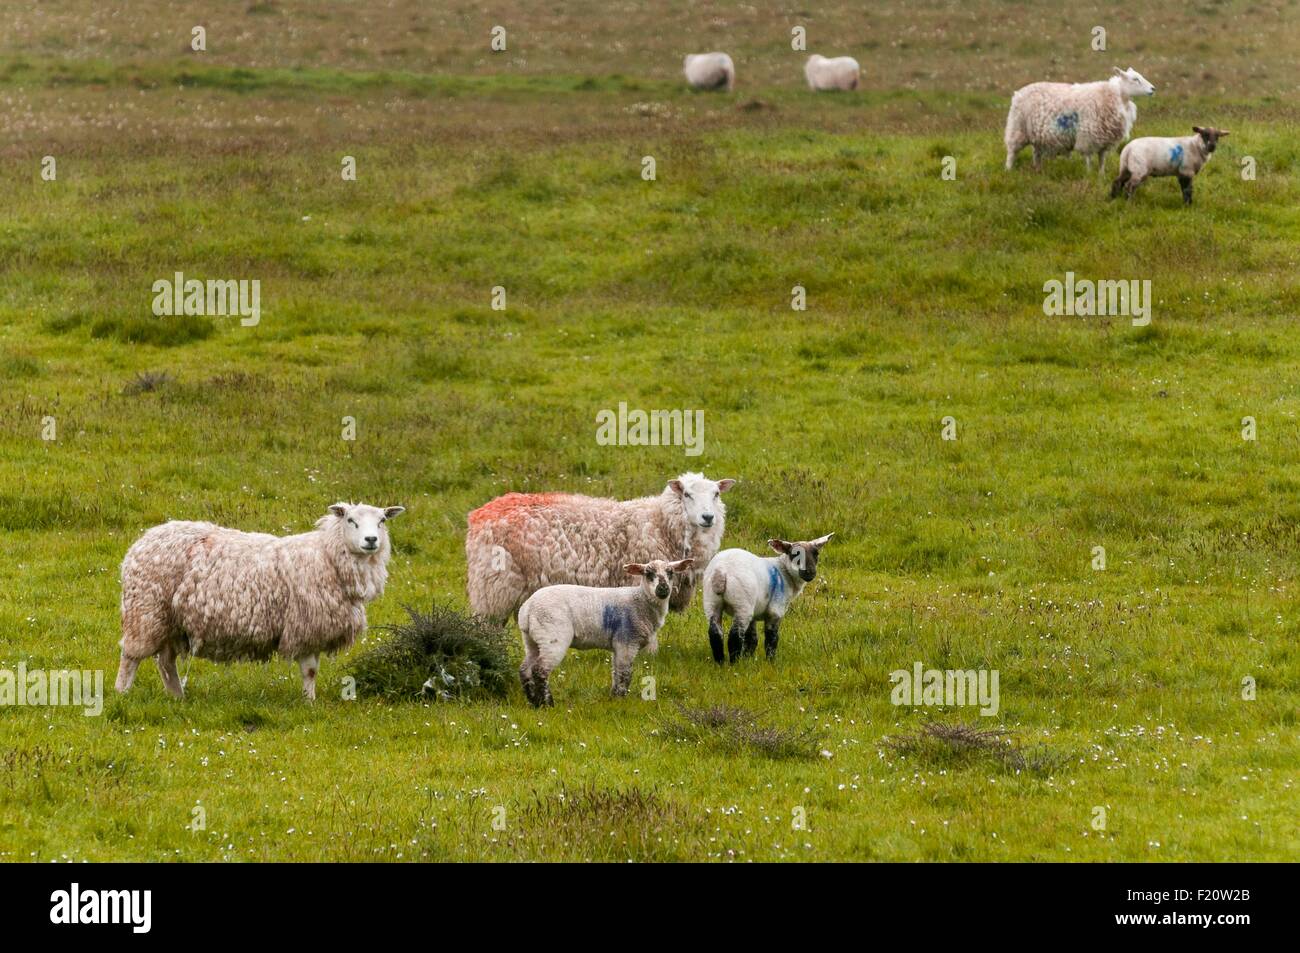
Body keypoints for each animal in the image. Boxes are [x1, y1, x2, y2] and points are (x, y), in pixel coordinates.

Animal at [116, 501, 403, 702]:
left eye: (381, 521)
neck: (327, 557)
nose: (371, 540)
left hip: (172, 621)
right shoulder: (304, 626)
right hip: (146, 610)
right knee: (131, 655)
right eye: (351, 520)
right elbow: (309, 670)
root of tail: (143, 541)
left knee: (165, 662)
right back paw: (122, 693)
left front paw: (309, 701)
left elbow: (311, 672)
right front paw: (309, 703)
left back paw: (178, 697)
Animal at [467, 470, 738, 624]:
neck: (659, 523)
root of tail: (479, 514)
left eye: (716, 494)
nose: (708, 517)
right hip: (494, 587)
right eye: (687, 495)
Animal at [514, 553, 691, 702]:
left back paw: (533, 701)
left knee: (525, 669)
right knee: (540, 670)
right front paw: (621, 699)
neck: (641, 600)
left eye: (670, 573)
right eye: (648, 574)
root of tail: (527, 609)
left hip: (532, 639)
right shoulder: (627, 641)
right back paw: (547, 703)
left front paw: (614, 696)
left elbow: (616, 672)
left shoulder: (618, 644)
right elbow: (625, 673)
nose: (663, 589)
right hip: (553, 635)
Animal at [702, 535, 832, 660]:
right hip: (742, 604)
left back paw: (720, 662)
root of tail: (721, 572)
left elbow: (752, 639)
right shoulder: (775, 610)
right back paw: (735, 663)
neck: (785, 572)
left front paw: (747, 658)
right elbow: (771, 639)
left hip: (711, 601)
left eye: (816, 553)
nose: (810, 573)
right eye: (794, 555)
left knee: (715, 633)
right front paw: (770, 660)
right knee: (735, 637)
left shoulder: (754, 614)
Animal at [1003, 65, 1159, 174]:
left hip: (1038, 135)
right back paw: (1009, 169)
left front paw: (1101, 175)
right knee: (1012, 151)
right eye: (1135, 79)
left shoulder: (1104, 139)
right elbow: (1088, 158)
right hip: (1017, 128)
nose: (1153, 89)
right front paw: (1089, 174)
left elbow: (1102, 159)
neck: (1116, 96)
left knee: (1036, 154)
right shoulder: (1088, 137)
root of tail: (1018, 93)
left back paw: (1037, 169)